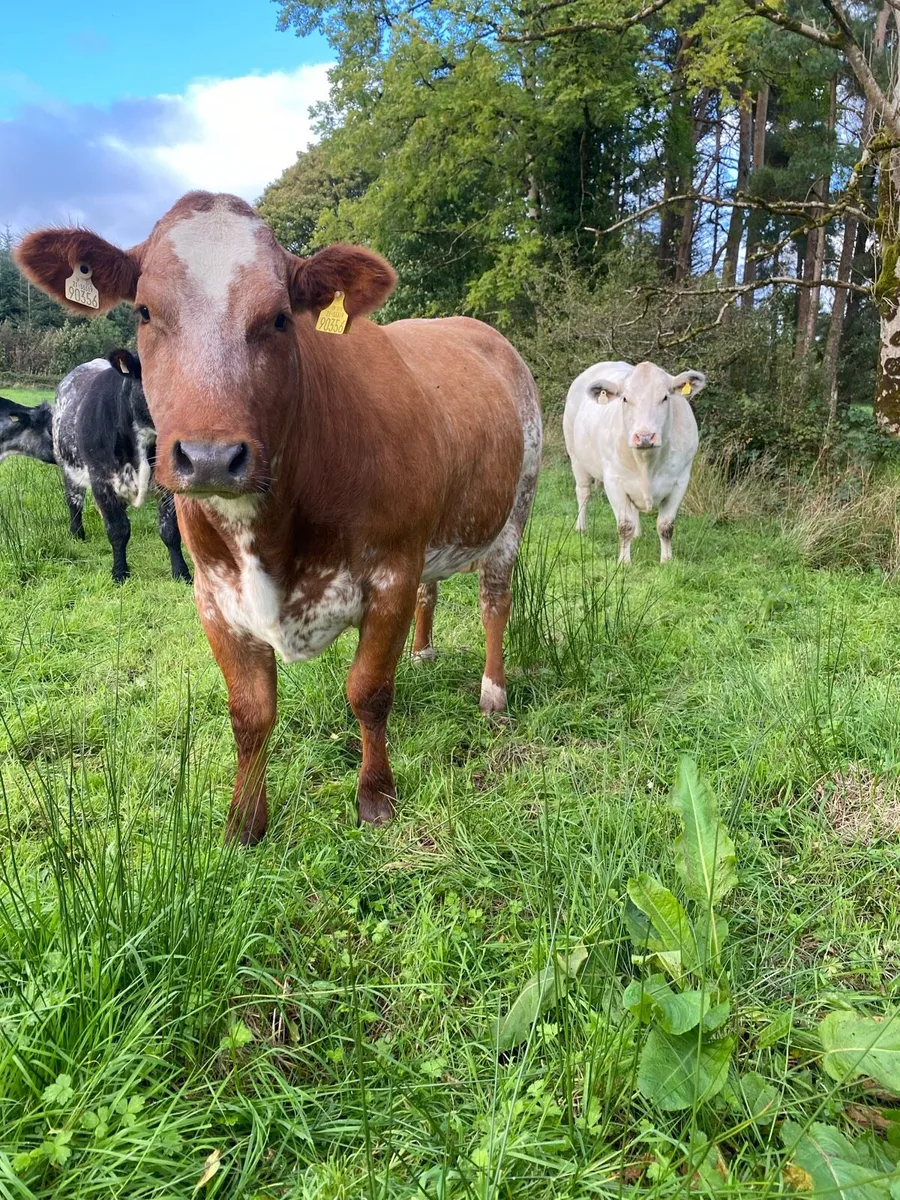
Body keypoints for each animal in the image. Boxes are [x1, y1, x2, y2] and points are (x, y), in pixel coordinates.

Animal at [53, 351, 191, 584]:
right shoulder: (101, 480)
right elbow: (117, 529)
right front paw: (119, 573)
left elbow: (170, 530)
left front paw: (181, 572)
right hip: (67, 465)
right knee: (74, 502)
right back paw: (77, 534)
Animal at [563, 359, 705, 564]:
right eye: (624, 399)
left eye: (665, 397)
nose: (645, 436)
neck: (647, 464)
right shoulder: (613, 481)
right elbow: (624, 525)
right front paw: (624, 562)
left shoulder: (681, 480)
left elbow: (666, 526)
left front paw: (667, 561)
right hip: (575, 456)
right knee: (583, 493)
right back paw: (581, 528)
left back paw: (638, 534)